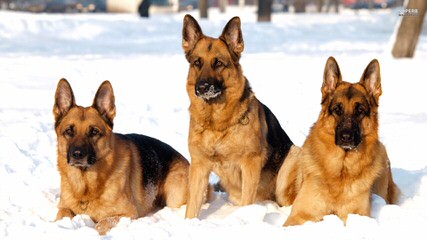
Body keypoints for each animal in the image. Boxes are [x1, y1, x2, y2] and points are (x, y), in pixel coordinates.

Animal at [53, 79, 189, 234]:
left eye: (94, 132)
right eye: (69, 131)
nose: (77, 154)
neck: (86, 187)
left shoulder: (127, 214)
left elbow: (102, 224)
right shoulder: (64, 207)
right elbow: (63, 214)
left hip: (174, 197)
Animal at [182, 14, 296, 218]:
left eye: (218, 63)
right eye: (197, 63)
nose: (201, 87)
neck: (217, 124)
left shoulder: (250, 164)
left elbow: (247, 202)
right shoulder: (199, 167)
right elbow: (192, 206)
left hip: (292, 157)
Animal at [276, 57, 400, 226]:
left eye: (360, 110)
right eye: (337, 110)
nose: (346, 137)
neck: (342, 168)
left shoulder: (357, 216)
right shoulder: (300, 215)